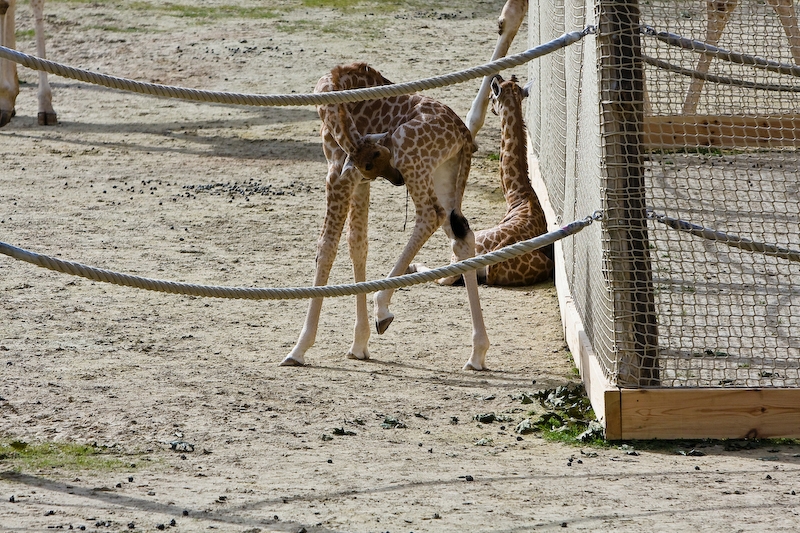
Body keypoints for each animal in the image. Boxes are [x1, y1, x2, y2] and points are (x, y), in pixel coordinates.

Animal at [280, 62, 490, 371]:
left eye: (381, 155)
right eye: (374, 161)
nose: (396, 179)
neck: (332, 93)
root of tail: (464, 134)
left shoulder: (338, 173)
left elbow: (327, 248)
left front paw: (299, 347)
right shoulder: (359, 180)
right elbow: (357, 244)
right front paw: (359, 344)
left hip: (412, 157)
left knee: (430, 215)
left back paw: (383, 309)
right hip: (444, 172)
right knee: (462, 234)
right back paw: (476, 354)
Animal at [409, 74, 554, 287]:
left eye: (492, 96)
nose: (492, 107)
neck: (519, 195)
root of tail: (492, 265)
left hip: (463, 246)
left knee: (443, 277)